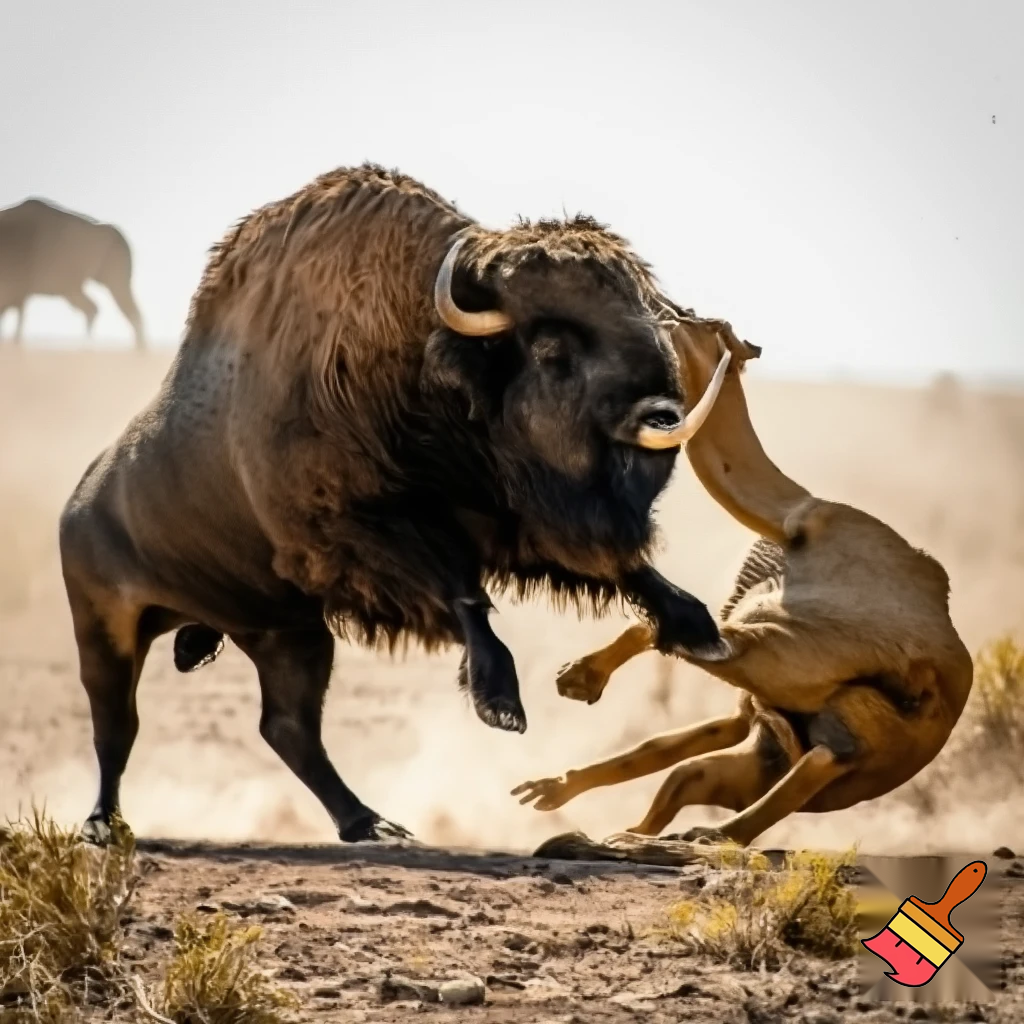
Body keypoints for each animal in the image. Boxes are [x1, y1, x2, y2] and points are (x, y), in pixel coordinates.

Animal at [59, 164, 727, 843]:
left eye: (649, 320)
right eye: (552, 351)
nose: (661, 415)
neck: (419, 361)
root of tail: (79, 504)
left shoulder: (521, 523)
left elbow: (626, 570)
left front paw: (702, 633)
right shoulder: (365, 536)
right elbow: (460, 589)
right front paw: (501, 705)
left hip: (287, 635)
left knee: (287, 728)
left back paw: (371, 823)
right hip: (108, 630)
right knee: (118, 728)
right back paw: (102, 824)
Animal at [512, 315, 973, 847]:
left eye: (692, 318)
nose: (653, 316)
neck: (795, 519)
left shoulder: (768, 649)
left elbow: (663, 631)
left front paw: (578, 679)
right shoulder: (754, 696)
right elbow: (664, 737)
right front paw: (555, 780)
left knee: (763, 799)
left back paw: (660, 840)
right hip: (771, 753)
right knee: (696, 778)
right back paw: (621, 837)